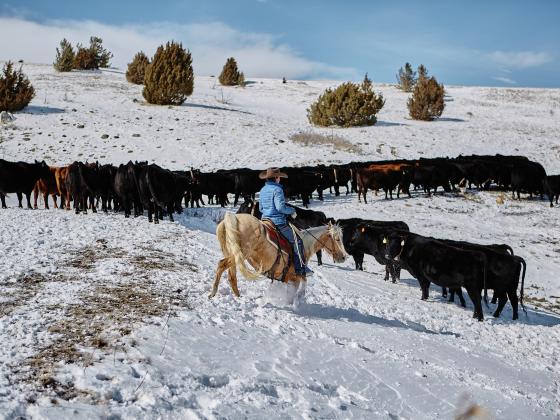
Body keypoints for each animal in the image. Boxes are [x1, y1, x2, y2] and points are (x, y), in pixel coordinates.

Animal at [211, 213, 346, 298]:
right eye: (337, 239)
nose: (344, 257)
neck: (305, 245)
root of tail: (231, 218)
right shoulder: (295, 277)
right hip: (240, 254)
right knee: (222, 265)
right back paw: (213, 293)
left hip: (233, 254)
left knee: (231, 275)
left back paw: (236, 296)